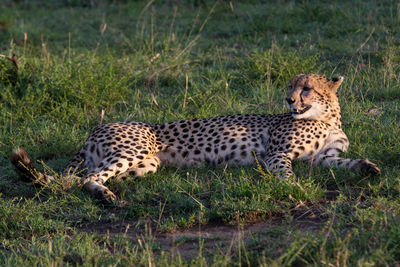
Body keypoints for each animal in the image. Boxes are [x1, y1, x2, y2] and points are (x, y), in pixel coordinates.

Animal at [10, 74, 378, 203]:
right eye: (290, 86)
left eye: (307, 88)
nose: (289, 101)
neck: (326, 117)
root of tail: (96, 128)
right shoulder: (277, 154)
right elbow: (286, 173)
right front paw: (295, 188)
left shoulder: (324, 158)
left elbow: (345, 162)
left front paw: (367, 167)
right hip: (135, 149)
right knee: (87, 178)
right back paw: (105, 195)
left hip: (149, 164)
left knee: (84, 177)